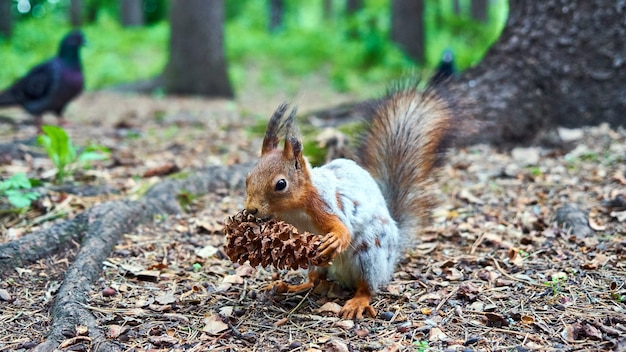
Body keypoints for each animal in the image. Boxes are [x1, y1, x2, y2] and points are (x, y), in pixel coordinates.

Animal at [244, 80, 464, 320]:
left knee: (367, 286)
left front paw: (336, 239)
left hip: (370, 254)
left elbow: (344, 228)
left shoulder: (323, 205)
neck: (293, 210)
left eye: (281, 184)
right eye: (247, 177)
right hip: (315, 261)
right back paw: (290, 287)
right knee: (315, 280)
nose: (251, 209)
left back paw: (357, 301)